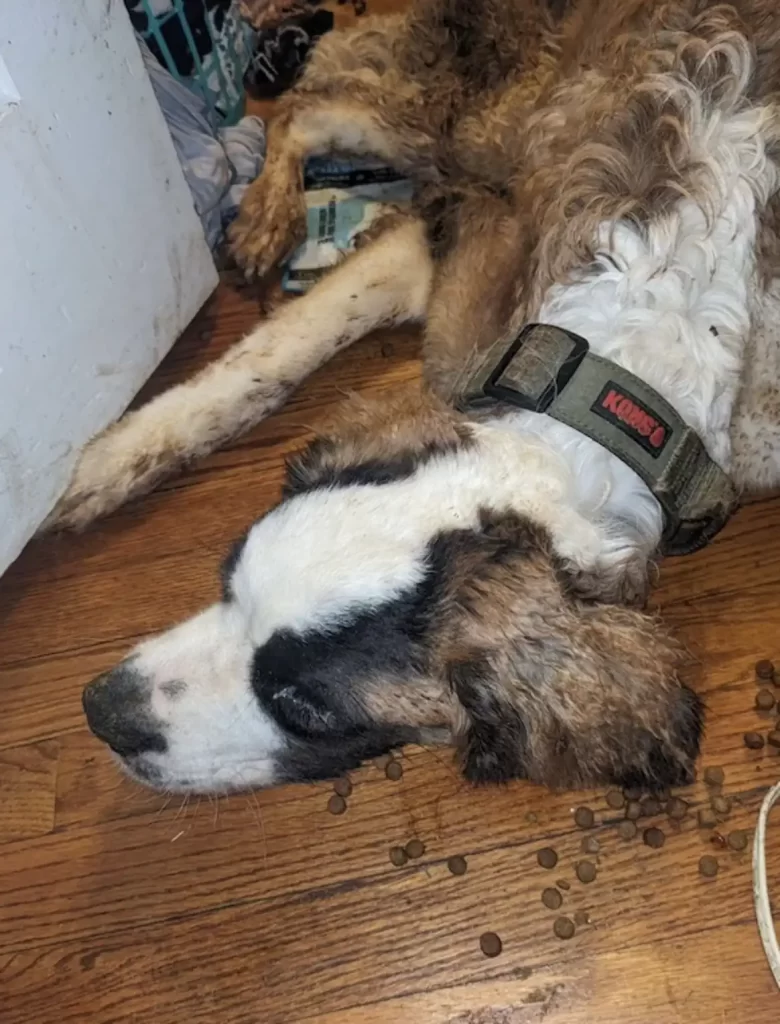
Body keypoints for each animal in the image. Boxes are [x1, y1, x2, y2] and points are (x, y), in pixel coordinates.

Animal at [61, 0, 780, 794]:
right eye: (227, 578)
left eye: (303, 708)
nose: (101, 712)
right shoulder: (446, 257)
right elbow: (269, 356)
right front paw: (105, 464)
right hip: (447, 118)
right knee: (303, 108)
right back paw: (266, 214)